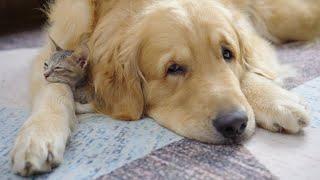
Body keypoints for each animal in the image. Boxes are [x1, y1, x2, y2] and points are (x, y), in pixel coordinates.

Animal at [10, 0, 320, 176]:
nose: (234, 124)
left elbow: (249, 66)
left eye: (227, 53)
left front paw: (277, 100)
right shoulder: (51, 51)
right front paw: (38, 136)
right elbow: (53, 88)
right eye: (174, 68)